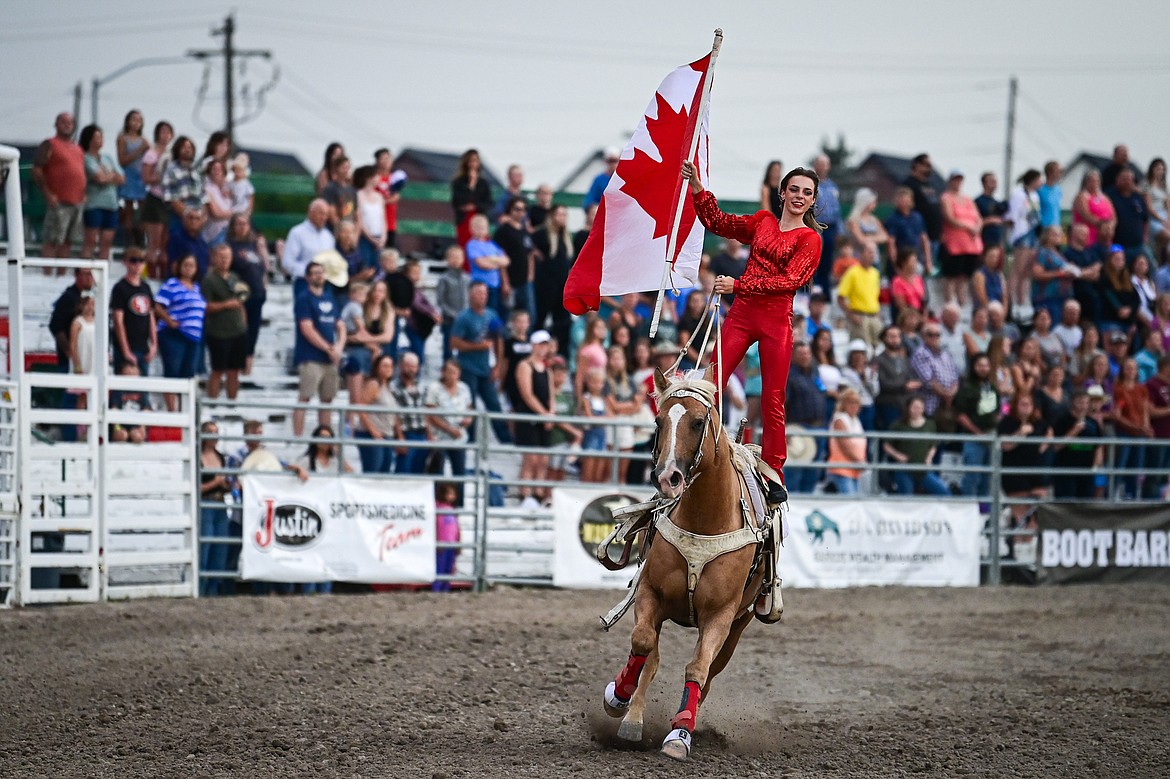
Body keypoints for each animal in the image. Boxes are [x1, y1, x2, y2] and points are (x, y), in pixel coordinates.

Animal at [603, 364, 776, 757]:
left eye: (698, 422)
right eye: (658, 420)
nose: (667, 477)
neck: (704, 519)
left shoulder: (721, 616)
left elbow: (697, 668)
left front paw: (680, 734)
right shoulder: (650, 594)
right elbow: (642, 645)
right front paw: (618, 697)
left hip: (739, 625)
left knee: (709, 673)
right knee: (651, 659)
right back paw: (632, 717)